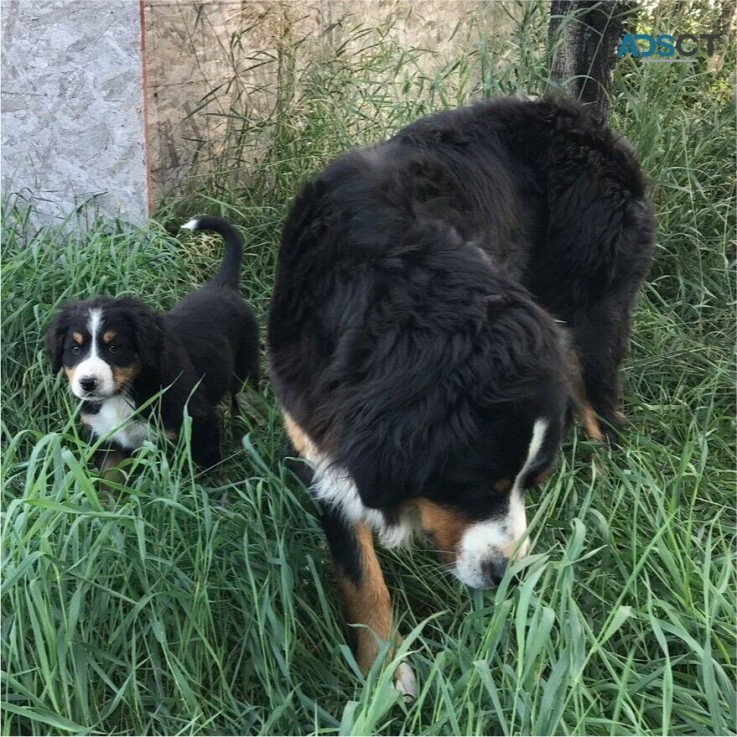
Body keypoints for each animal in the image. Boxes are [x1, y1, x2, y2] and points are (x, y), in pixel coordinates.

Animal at [45, 216, 258, 474]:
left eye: (114, 347)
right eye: (75, 349)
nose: (88, 383)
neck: (124, 393)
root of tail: (221, 286)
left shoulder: (199, 425)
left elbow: (206, 475)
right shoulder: (106, 439)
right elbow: (108, 481)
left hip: (246, 370)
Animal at [268, 95, 652, 692]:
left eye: (532, 483)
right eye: (473, 486)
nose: (507, 576)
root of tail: (583, 118)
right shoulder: (318, 441)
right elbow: (359, 573)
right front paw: (384, 671)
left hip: (593, 317)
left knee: (603, 411)